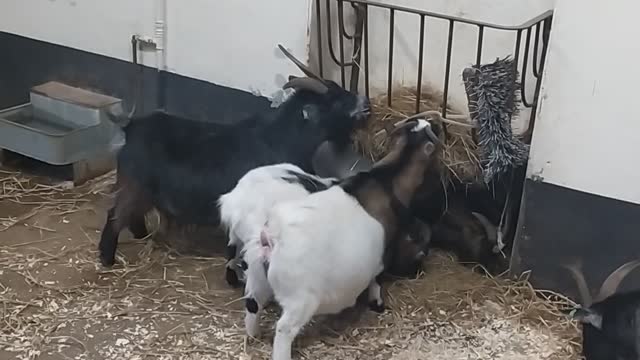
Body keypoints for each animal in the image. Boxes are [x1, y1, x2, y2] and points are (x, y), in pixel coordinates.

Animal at [97, 43, 372, 266]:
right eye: (333, 102)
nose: (366, 104)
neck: (282, 137)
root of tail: (132, 126)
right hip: (135, 187)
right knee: (115, 215)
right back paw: (107, 258)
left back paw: (142, 236)